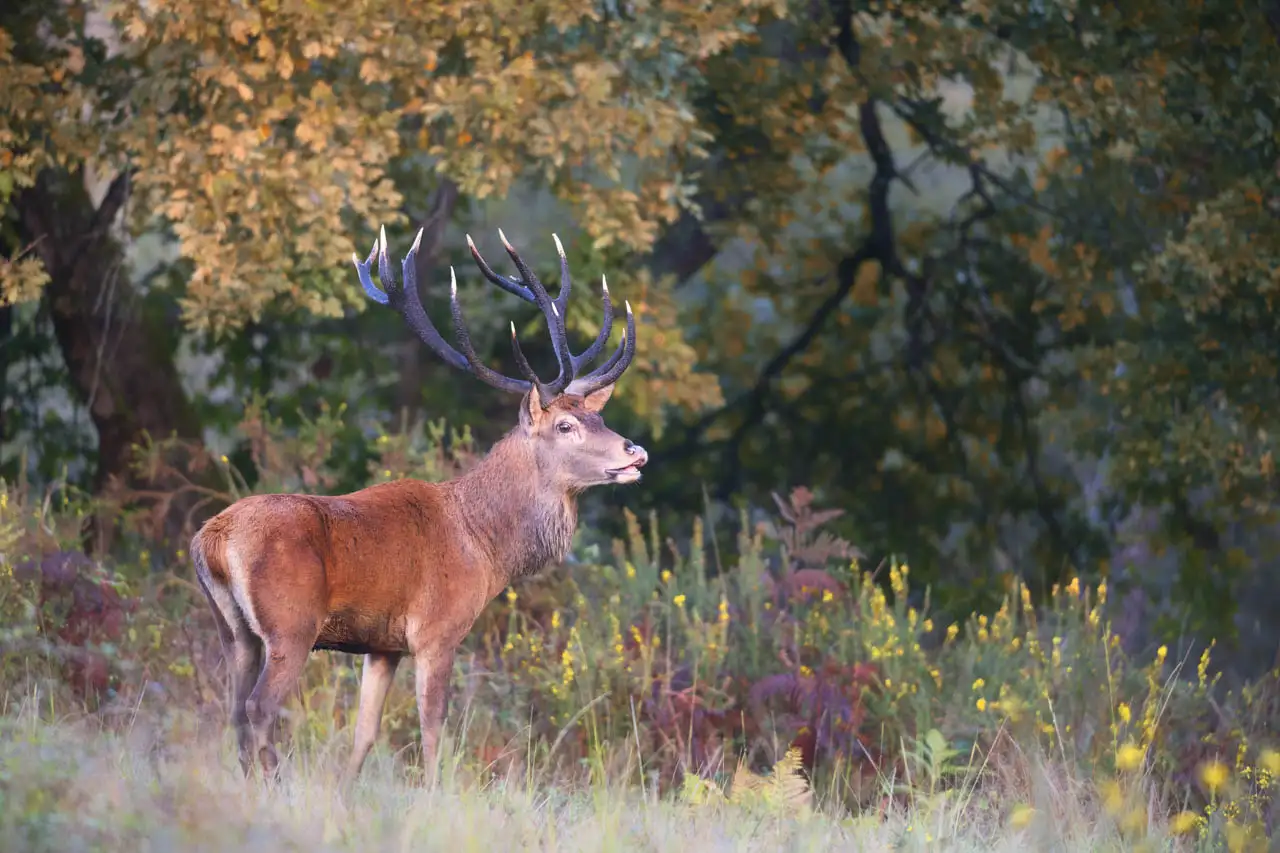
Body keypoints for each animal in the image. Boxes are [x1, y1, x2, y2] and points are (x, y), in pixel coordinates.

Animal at [191, 225, 647, 785]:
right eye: (565, 425)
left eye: (597, 418)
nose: (636, 452)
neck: (485, 547)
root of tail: (212, 540)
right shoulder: (437, 630)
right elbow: (433, 731)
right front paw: (435, 792)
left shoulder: (382, 646)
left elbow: (365, 733)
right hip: (290, 625)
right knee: (259, 708)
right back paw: (278, 785)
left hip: (233, 631)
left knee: (234, 711)